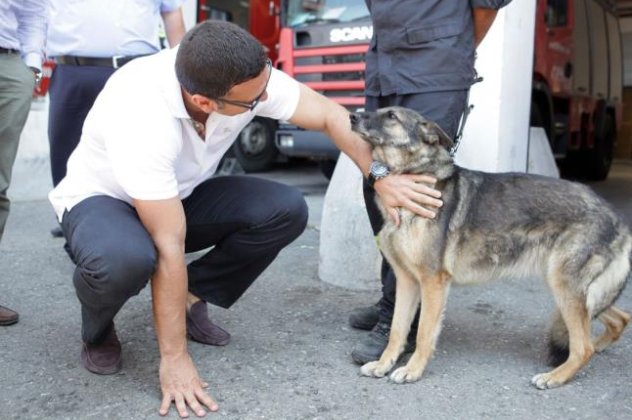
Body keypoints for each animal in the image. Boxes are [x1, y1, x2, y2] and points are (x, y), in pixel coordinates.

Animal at [348, 106, 628, 388]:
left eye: (391, 116)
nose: (351, 115)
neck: (412, 175)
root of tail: (615, 215)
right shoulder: (407, 282)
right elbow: (397, 330)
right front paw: (383, 364)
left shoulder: (432, 283)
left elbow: (424, 334)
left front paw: (413, 370)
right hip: (572, 289)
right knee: (619, 319)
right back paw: (598, 346)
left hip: (564, 287)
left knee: (583, 347)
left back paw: (556, 376)